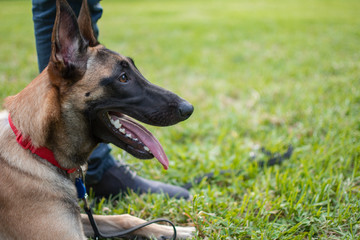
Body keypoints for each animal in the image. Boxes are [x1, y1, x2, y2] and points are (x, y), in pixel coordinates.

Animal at [0, 0, 194, 239]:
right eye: (123, 78)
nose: (188, 108)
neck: (35, 147)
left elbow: (124, 218)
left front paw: (173, 229)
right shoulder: (65, 234)